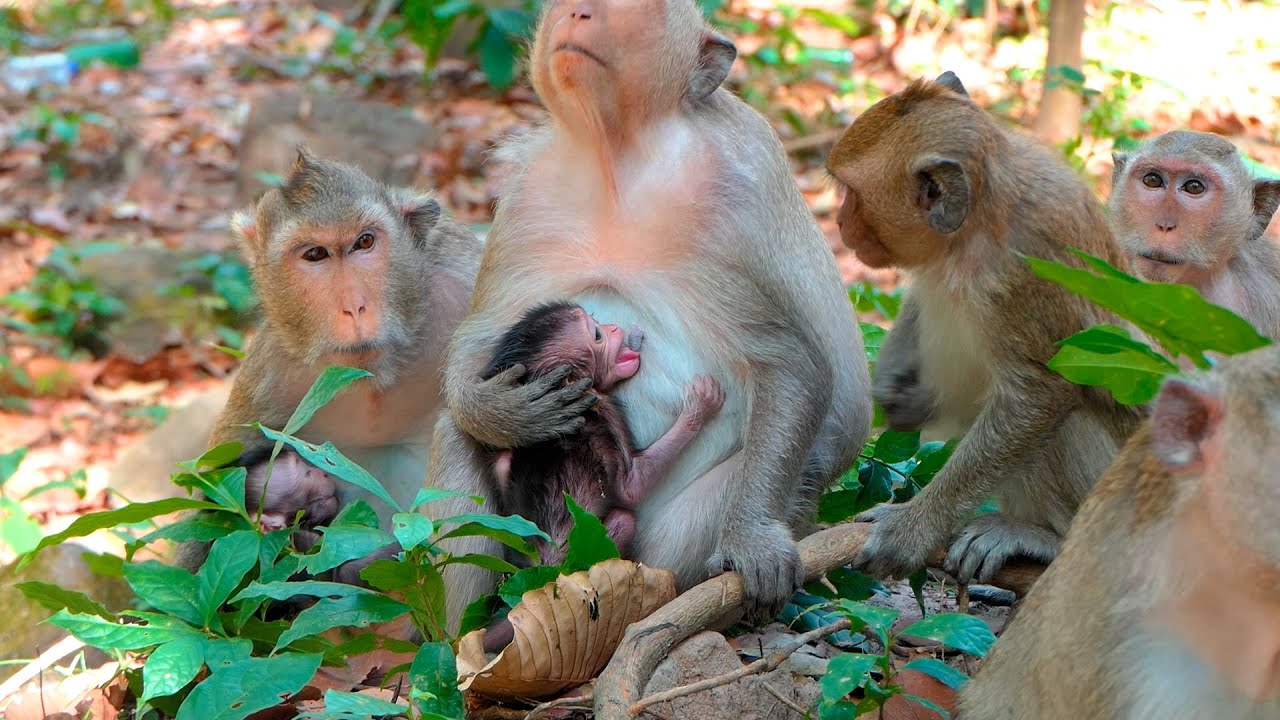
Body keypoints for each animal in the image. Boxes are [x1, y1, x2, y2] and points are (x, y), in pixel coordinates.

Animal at [481, 300, 725, 567]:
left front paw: (635, 338)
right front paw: (698, 407)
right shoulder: (603, 407)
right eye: (597, 334)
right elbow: (631, 487)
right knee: (624, 519)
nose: (613, 328)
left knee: (503, 460)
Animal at [825, 71, 1146, 586]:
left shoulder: (1026, 267)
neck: (976, 224)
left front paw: (911, 530)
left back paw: (1043, 538)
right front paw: (896, 386)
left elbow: (1040, 393)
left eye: (851, 192)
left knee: (1062, 419)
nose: (838, 220)